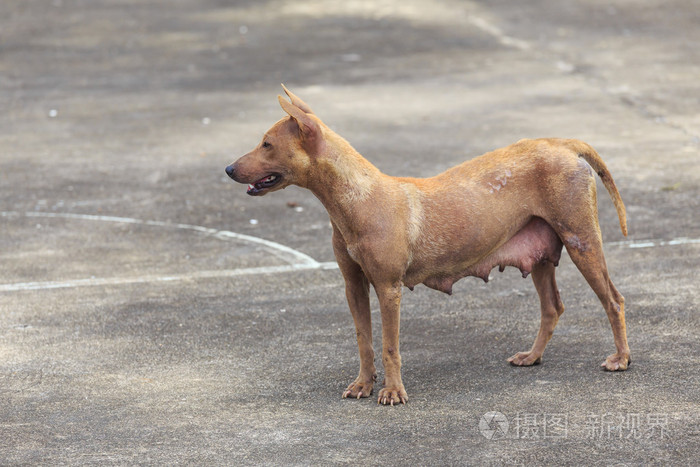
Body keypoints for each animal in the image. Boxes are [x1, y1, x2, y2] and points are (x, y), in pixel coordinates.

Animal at [227, 86, 632, 408]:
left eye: (266, 144)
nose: (229, 168)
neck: (358, 199)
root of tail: (563, 143)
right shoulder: (353, 286)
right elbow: (364, 340)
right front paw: (363, 384)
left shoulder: (388, 289)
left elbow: (389, 347)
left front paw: (392, 392)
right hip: (542, 255)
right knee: (553, 308)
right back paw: (532, 357)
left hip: (582, 243)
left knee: (613, 300)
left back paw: (621, 358)